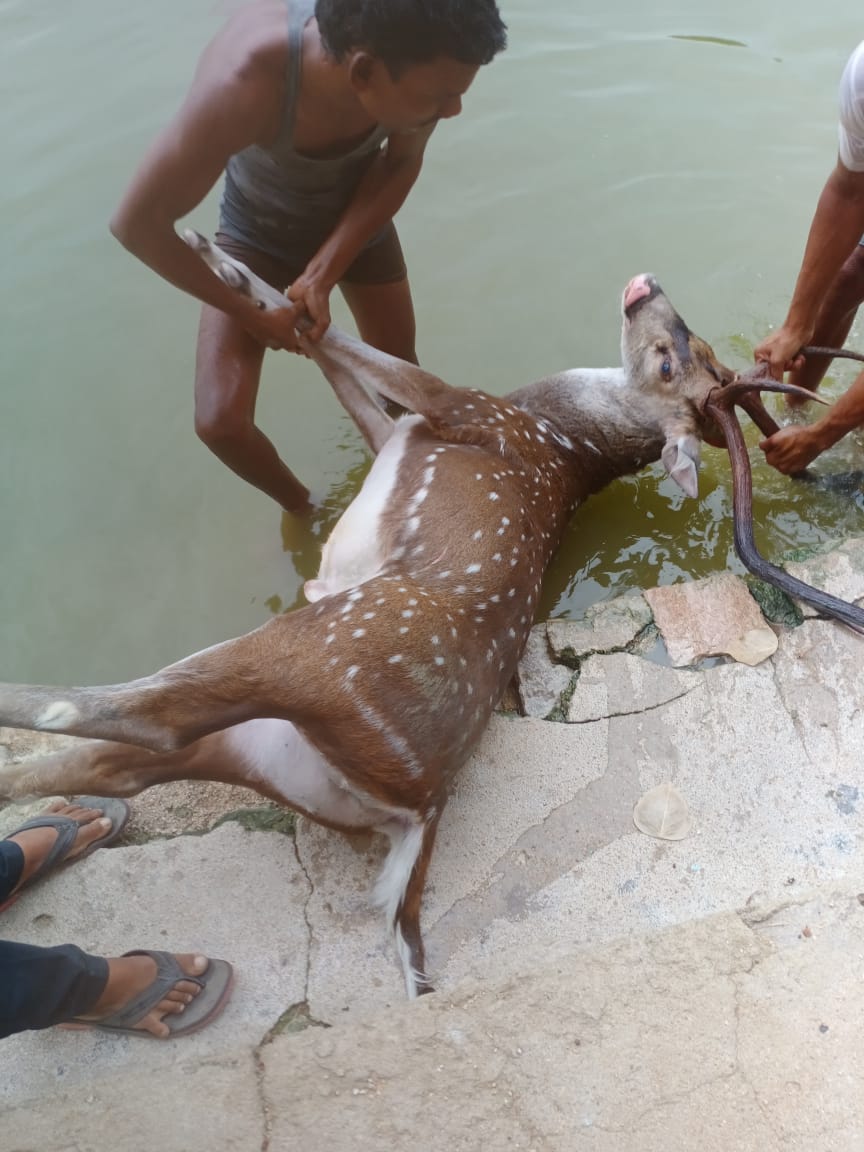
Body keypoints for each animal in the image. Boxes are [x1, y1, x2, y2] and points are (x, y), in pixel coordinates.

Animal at [3, 243, 861, 999]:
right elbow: (338, 370)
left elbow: (359, 354)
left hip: (324, 648)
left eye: (668, 361)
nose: (651, 288)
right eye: (686, 349)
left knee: (144, 714)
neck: (550, 424)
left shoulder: (455, 403)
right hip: (267, 750)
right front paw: (244, 278)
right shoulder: (398, 431)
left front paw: (224, 263)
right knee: (119, 764)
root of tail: (421, 802)